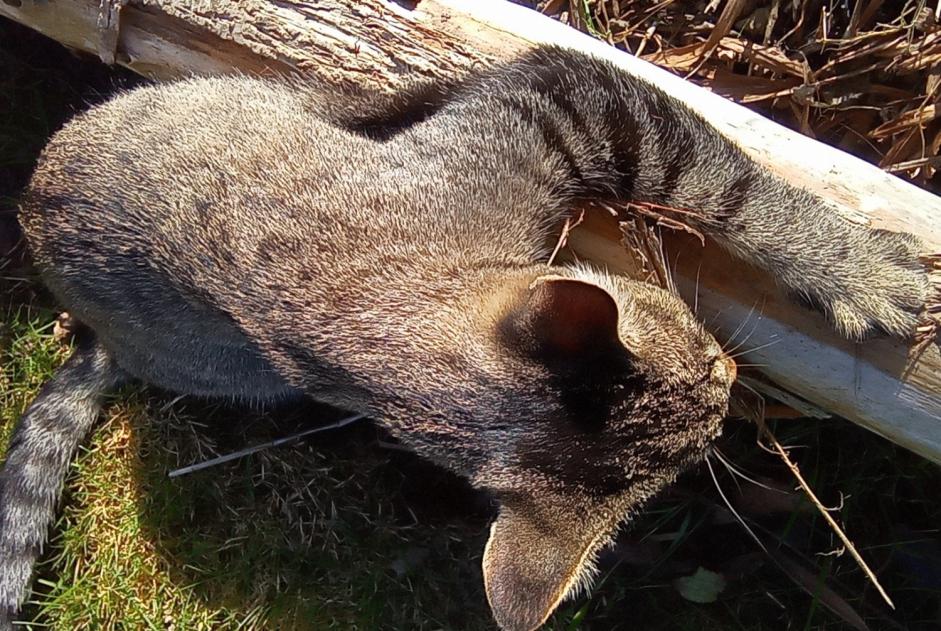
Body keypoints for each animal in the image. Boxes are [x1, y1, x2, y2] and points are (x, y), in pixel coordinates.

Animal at [0, 45, 924, 631]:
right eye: (701, 363)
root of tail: (100, 338)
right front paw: (859, 273)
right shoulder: (568, 94)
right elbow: (725, 184)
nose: (731, 378)